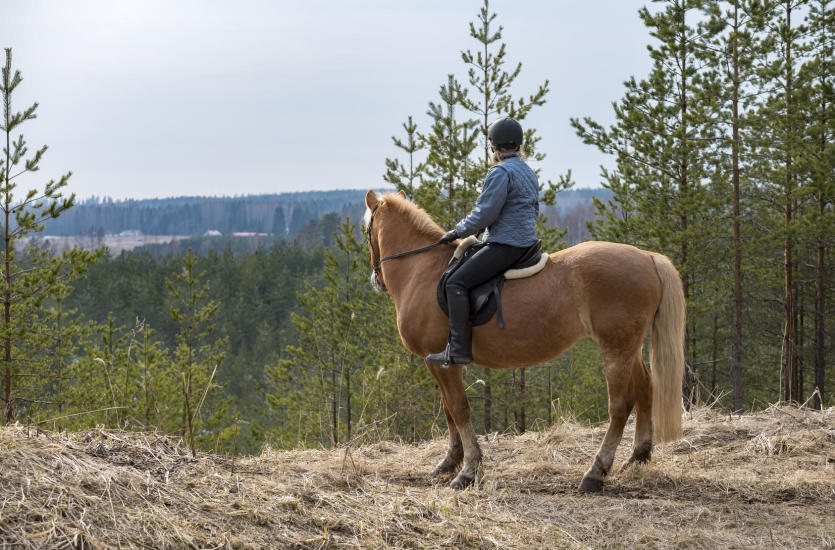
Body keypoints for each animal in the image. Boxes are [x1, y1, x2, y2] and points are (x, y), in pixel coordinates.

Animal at [366, 192, 684, 494]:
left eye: (367, 230)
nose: (376, 280)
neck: (423, 270)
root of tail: (647, 256)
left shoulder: (441, 362)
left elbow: (458, 408)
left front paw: (468, 470)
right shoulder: (442, 363)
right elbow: (449, 410)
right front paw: (449, 461)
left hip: (616, 348)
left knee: (620, 405)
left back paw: (595, 473)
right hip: (629, 348)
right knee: (645, 389)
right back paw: (638, 457)